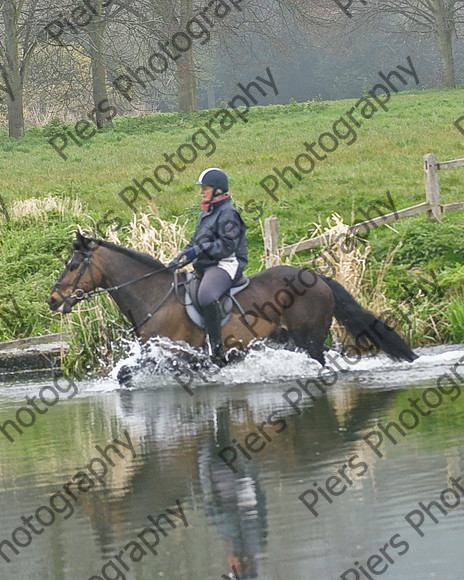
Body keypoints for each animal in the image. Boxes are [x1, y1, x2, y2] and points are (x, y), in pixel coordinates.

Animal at [49, 232, 418, 364]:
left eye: (72, 266)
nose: (53, 300)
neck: (152, 295)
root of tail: (316, 278)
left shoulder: (172, 351)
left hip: (308, 338)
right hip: (291, 338)